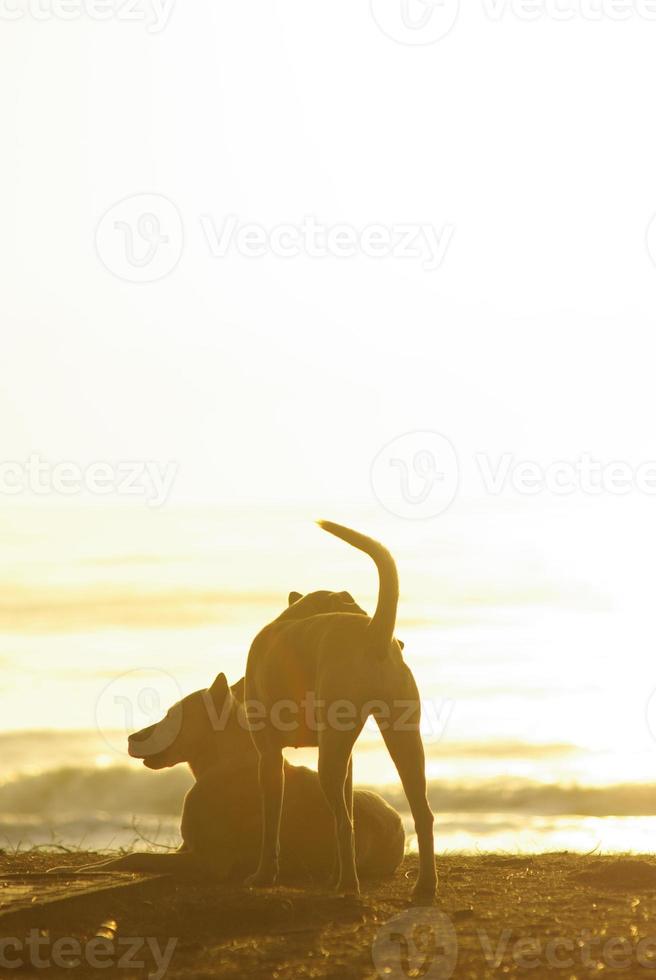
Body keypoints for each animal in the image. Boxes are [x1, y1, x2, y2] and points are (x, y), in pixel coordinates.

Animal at [66, 668, 404, 880]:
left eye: (172, 716)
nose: (131, 738)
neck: (223, 761)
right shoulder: (187, 848)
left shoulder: (209, 860)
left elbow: (134, 857)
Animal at [245, 524, 436, 900]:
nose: (402, 641)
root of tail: (373, 633)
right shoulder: (347, 762)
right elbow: (340, 816)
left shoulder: (268, 756)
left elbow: (272, 821)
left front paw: (264, 874)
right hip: (402, 741)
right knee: (420, 814)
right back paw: (423, 885)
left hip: (330, 759)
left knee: (347, 822)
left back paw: (349, 884)